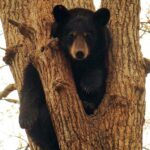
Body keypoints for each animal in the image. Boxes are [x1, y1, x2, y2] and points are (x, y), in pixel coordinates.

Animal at [18, 4, 110, 150]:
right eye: (71, 35)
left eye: (88, 35)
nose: (79, 53)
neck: (76, 63)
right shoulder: (39, 61)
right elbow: (31, 84)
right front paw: (26, 119)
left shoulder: (100, 56)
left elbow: (97, 72)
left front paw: (88, 86)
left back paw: (87, 104)